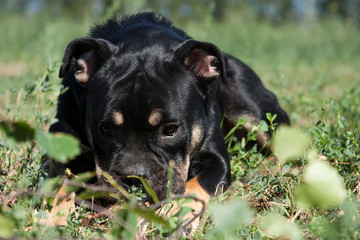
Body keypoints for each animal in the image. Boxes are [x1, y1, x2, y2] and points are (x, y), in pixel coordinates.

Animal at [43, 11, 290, 214]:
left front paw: (176, 213)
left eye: (170, 130)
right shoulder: (59, 145)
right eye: (105, 129)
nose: (134, 177)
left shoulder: (216, 160)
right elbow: (60, 185)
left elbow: (195, 186)